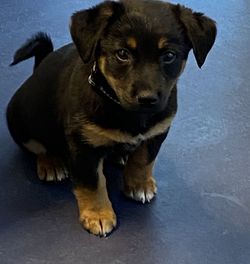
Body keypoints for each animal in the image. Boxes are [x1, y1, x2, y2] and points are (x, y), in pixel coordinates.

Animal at [6, 0, 217, 235]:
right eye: (122, 54)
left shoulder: (157, 132)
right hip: (20, 120)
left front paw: (139, 185)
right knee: (37, 146)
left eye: (169, 55)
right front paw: (98, 215)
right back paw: (51, 163)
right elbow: (93, 182)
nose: (147, 99)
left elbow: (144, 160)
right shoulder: (84, 145)